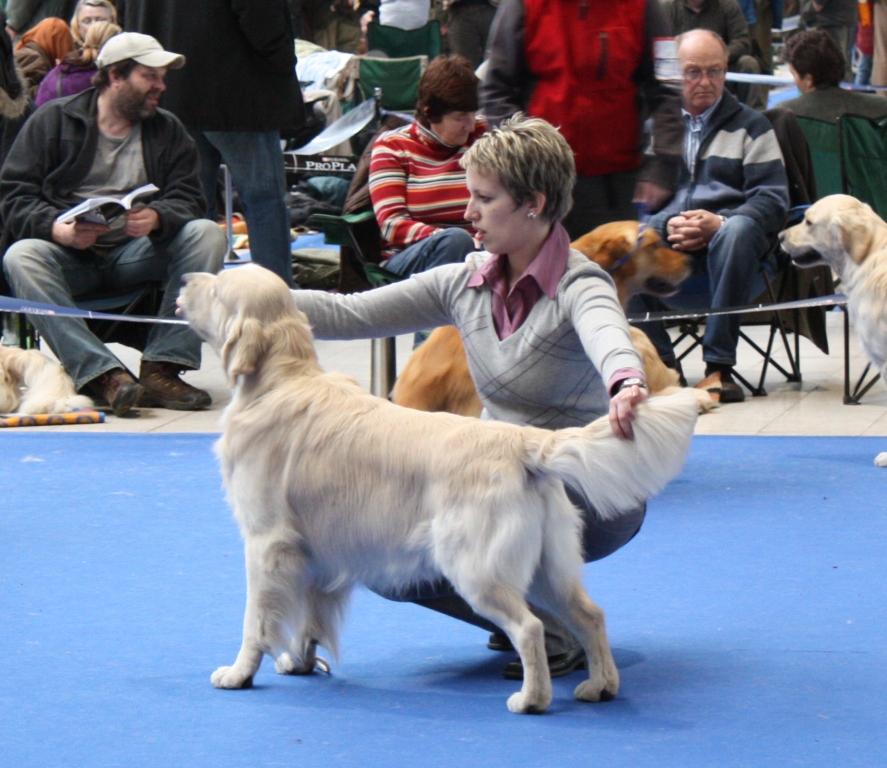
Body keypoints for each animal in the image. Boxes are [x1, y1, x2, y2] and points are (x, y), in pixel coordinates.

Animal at [175, 264, 700, 712]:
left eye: (218, 288)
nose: (183, 280)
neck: (278, 381)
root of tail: (523, 441)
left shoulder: (267, 542)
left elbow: (256, 620)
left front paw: (239, 673)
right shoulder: (317, 552)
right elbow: (309, 618)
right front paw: (301, 663)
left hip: (474, 566)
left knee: (529, 626)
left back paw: (532, 699)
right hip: (550, 564)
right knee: (590, 615)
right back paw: (599, 685)